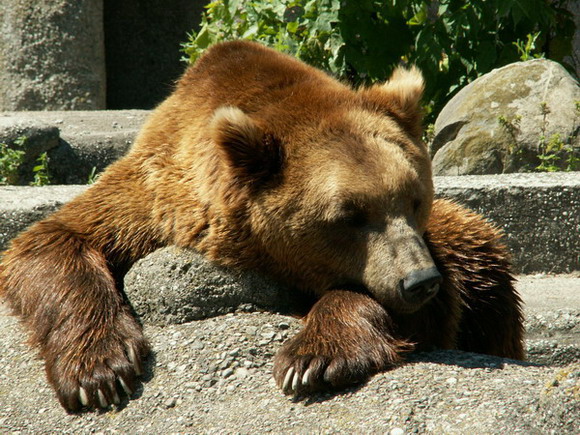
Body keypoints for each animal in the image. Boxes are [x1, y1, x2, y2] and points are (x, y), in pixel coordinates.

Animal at [0, 40, 524, 412]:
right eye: (350, 215)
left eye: (415, 199)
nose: (419, 280)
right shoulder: (150, 200)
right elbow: (51, 240)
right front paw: (100, 371)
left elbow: (416, 315)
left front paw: (311, 359)